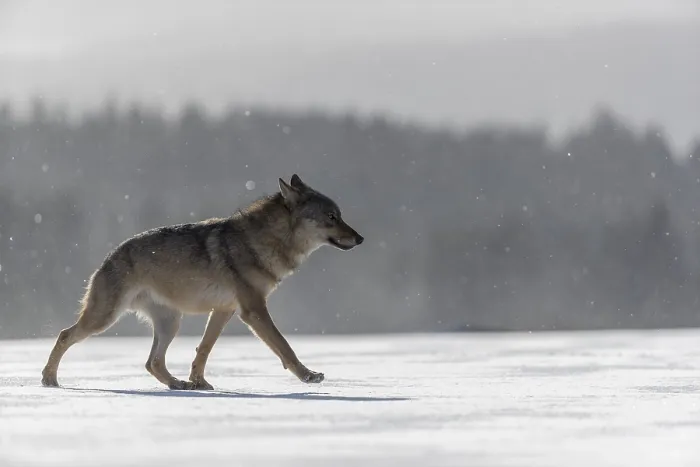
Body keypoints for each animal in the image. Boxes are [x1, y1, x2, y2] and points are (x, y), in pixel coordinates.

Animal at [41, 174, 364, 390]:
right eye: (331, 216)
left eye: (340, 215)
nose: (360, 238)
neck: (262, 241)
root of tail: (108, 257)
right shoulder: (253, 310)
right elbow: (285, 346)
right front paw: (308, 376)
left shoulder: (225, 310)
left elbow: (204, 349)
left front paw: (199, 382)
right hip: (105, 319)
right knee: (64, 335)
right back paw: (49, 380)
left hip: (171, 323)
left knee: (152, 362)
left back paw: (178, 384)